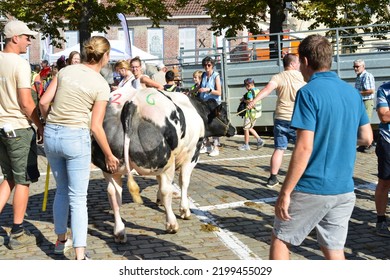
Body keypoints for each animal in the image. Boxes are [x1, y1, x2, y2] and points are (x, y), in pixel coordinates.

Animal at [92, 87, 235, 243]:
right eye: (223, 114)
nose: (233, 129)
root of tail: (132, 102)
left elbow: (160, 182)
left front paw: (159, 200)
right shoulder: (192, 154)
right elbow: (183, 182)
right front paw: (184, 210)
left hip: (111, 167)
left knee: (113, 193)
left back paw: (119, 232)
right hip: (166, 161)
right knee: (167, 189)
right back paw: (172, 224)